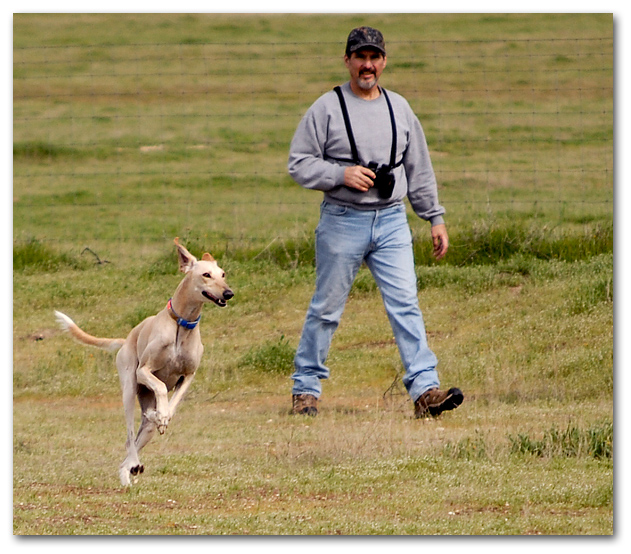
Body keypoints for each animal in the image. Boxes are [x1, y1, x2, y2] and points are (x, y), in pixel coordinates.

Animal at [55, 237, 233, 484]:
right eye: (206, 275)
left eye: (223, 274)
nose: (228, 293)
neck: (182, 325)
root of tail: (125, 339)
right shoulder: (144, 371)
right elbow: (160, 386)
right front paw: (161, 413)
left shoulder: (188, 376)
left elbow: (174, 401)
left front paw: (163, 416)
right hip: (129, 389)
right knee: (129, 437)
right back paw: (134, 462)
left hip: (145, 425)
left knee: (132, 446)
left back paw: (132, 467)